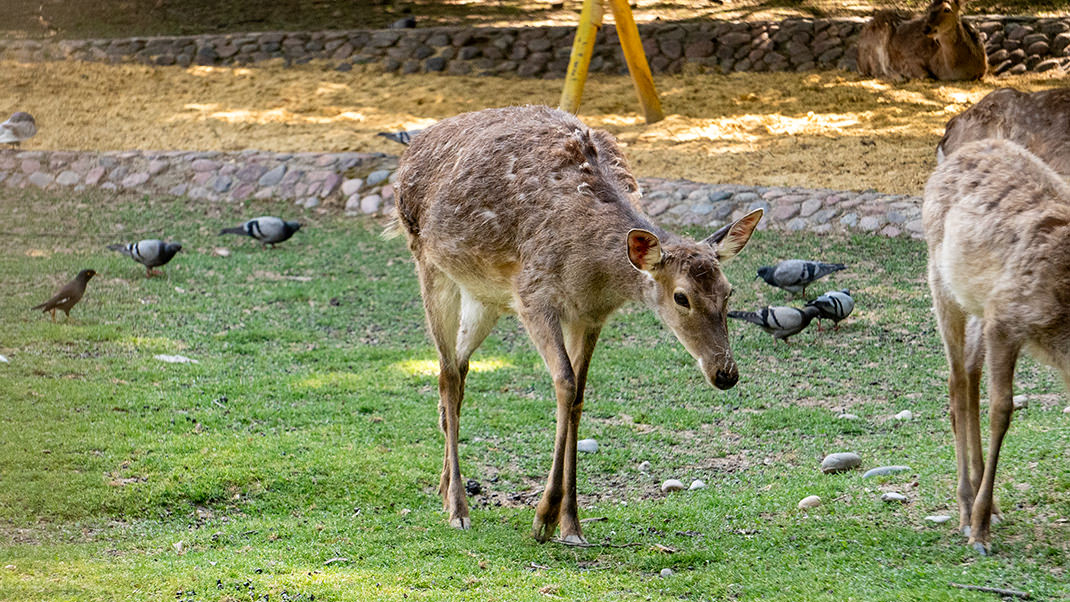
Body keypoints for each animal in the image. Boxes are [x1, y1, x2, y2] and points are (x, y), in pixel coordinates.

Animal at [393, 105, 761, 543]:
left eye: (729, 291)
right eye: (681, 297)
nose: (726, 373)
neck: (593, 271)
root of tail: (410, 152)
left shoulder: (590, 314)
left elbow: (580, 397)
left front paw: (571, 523)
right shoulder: (534, 295)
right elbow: (565, 384)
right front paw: (544, 517)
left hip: (484, 296)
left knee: (458, 368)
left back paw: (444, 483)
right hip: (428, 263)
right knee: (448, 372)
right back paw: (457, 507)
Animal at [856, 0, 988, 81]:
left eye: (947, 9)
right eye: (929, 7)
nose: (925, 28)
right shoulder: (910, 57)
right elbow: (925, 74)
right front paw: (906, 74)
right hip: (879, 38)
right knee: (876, 70)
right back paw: (899, 77)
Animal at [920, 137, 1070, 556]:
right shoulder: (1005, 318)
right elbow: (1001, 410)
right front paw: (980, 531)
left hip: (976, 304)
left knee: (969, 375)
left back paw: (985, 504)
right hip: (941, 281)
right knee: (956, 382)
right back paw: (966, 508)